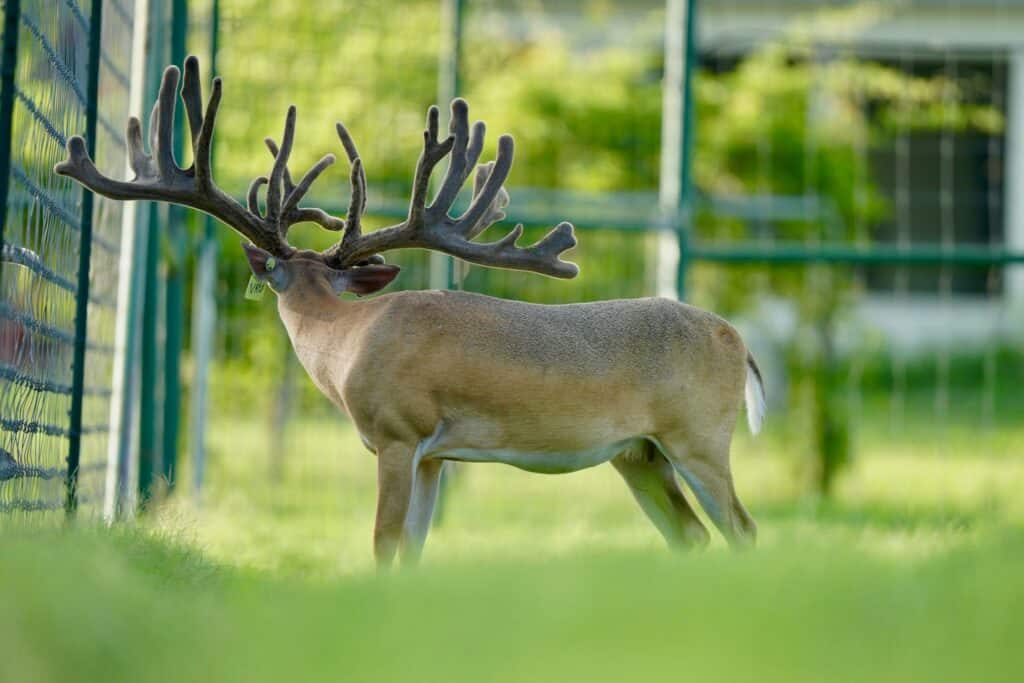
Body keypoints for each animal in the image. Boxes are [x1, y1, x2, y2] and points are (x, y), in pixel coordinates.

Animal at [56, 57, 765, 568]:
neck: (345, 342)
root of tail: (739, 340)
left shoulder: (399, 431)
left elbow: (383, 543)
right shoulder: (435, 456)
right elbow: (413, 550)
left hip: (698, 435)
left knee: (744, 529)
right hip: (637, 454)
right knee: (695, 536)